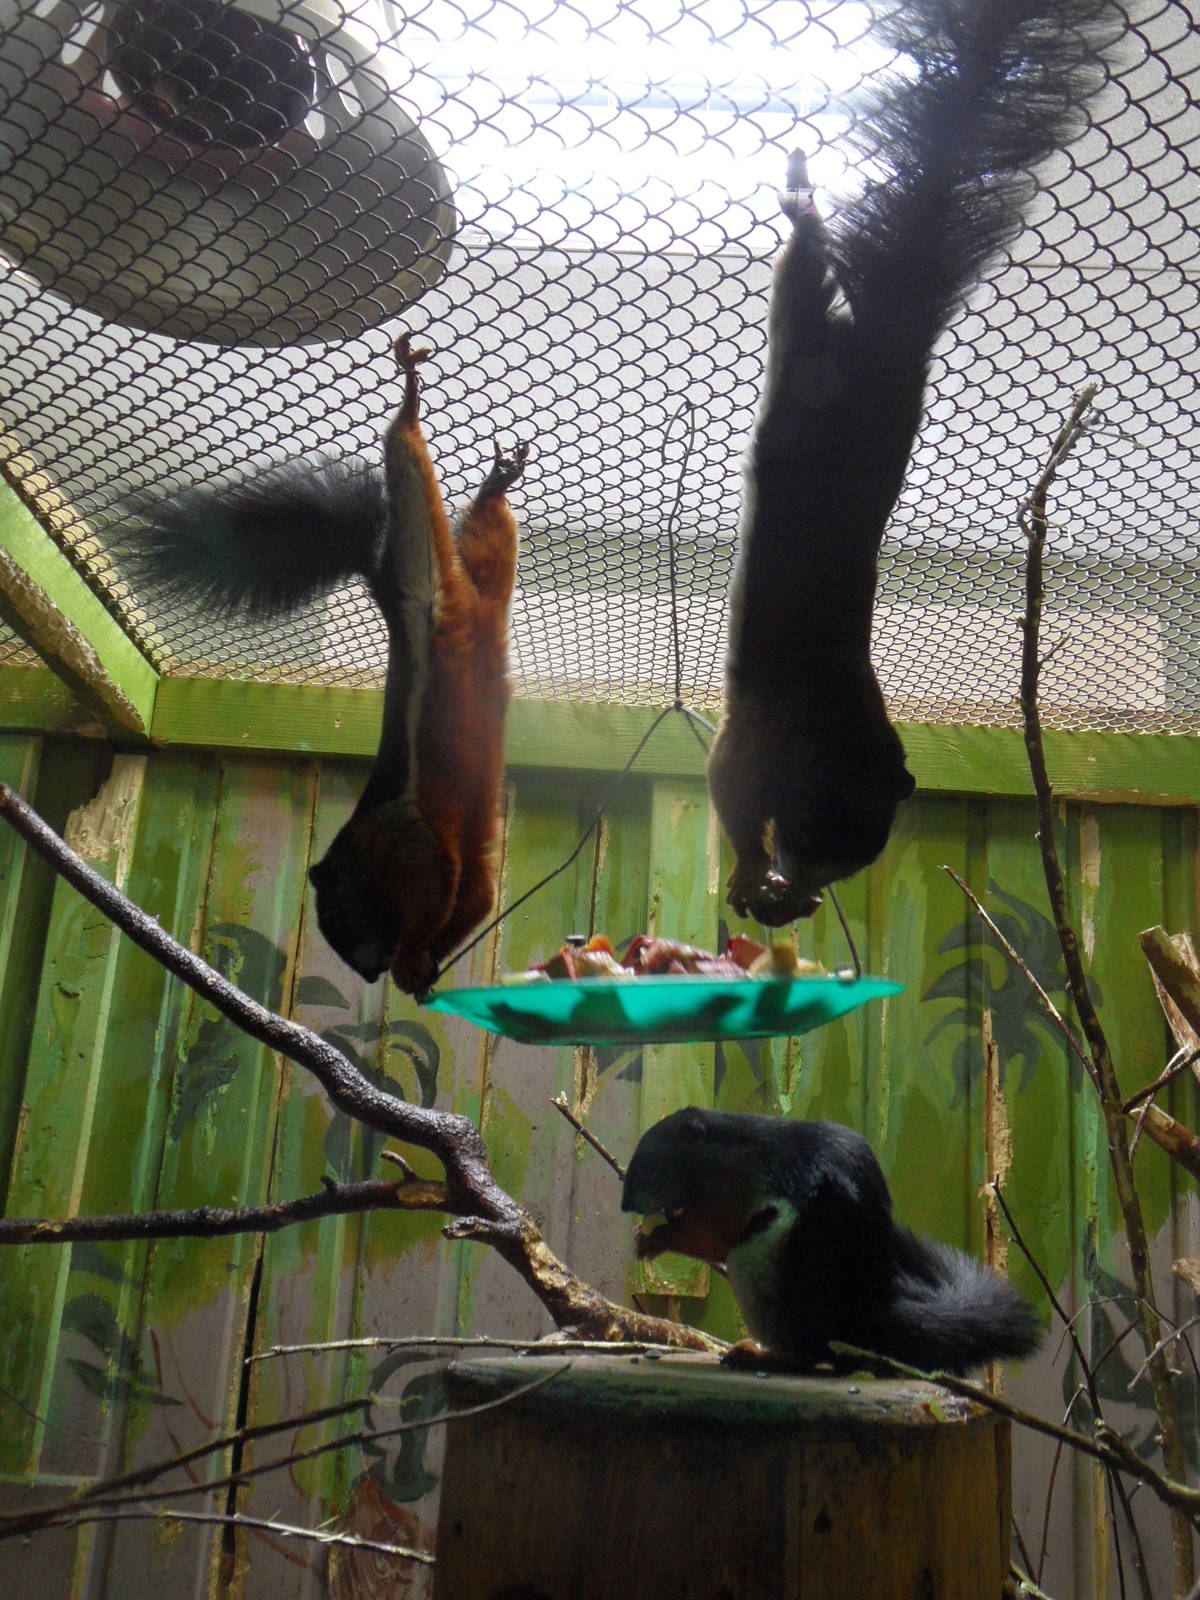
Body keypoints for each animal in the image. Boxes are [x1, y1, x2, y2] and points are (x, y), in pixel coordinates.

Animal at [120, 334, 527, 994]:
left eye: (334, 915)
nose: (368, 973)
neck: (358, 852)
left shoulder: (402, 842)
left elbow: (436, 884)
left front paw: (410, 960)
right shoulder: (461, 859)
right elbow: (475, 898)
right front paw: (425, 965)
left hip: (427, 594)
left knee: (412, 484)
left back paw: (409, 408)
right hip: (479, 600)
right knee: (489, 545)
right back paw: (495, 488)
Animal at [623, 1109, 1039, 1374]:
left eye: (652, 1167)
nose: (625, 1204)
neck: (721, 1160)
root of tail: (870, 1318)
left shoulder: (729, 1199)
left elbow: (709, 1234)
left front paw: (659, 1238)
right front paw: (645, 1237)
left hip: (767, 1276)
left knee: (810, 1353)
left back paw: (759, 1356)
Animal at [707, 0, 1121, 925]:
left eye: (849, 861)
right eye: (815, 838)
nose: (805, 885)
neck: (837, 726)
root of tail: (894, 345)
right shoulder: (757, 734)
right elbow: (730, 787)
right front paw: (749, 876)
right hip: (807, 361)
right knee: (803, 277)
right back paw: (800, 199)